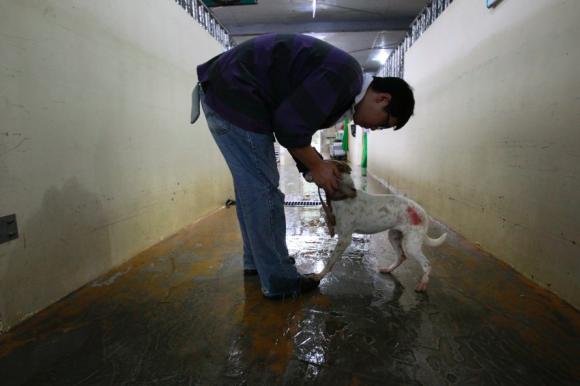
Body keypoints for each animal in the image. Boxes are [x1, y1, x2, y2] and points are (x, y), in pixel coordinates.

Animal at [310, 161, 446, 292]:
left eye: (319, 166)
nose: (306, 171)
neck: (344, 196)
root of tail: (423, 213)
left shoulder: (344, 239)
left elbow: (330, 260)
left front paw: (320, 276)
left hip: (411, 245)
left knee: (426, 264)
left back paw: (423, 284)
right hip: (394, 236)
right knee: (401, 256)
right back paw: (388, 269)